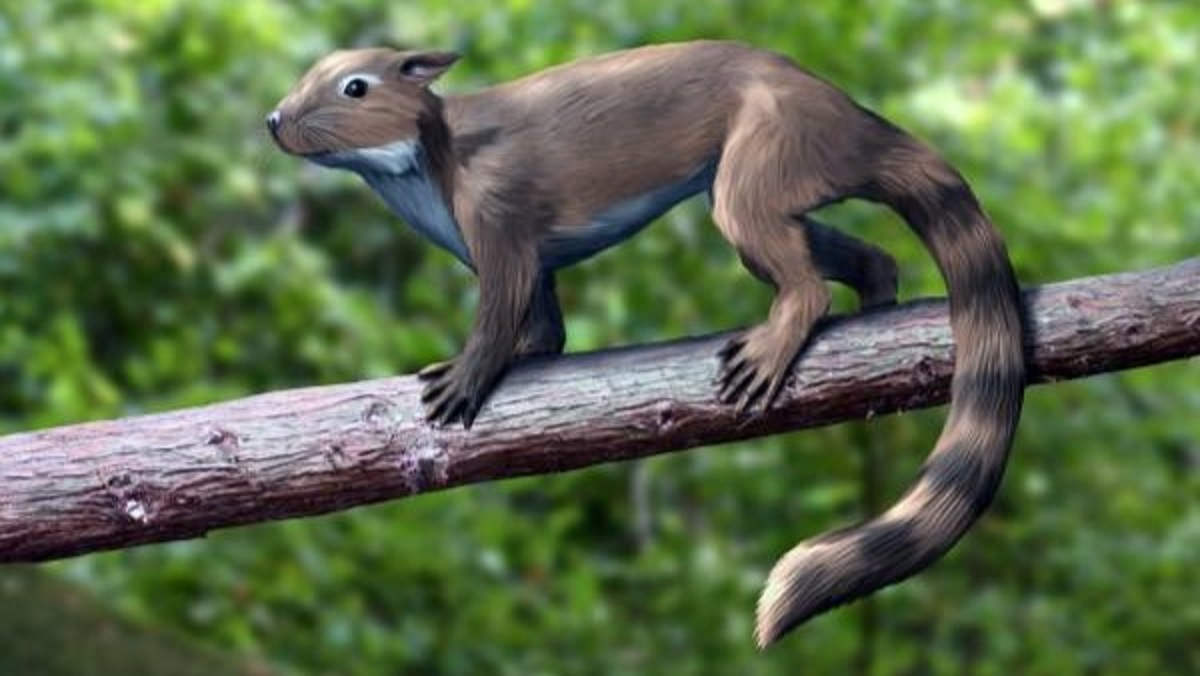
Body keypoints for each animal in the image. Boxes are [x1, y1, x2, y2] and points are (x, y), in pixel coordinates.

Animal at [268, 40, 1025, 648]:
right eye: (309, 75)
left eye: (355, 86)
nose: (275, 120)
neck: (429, 171)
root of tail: (848, 112)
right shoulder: (531, 259)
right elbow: (545, 326)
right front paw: (531, 355)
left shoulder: (499, 221)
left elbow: (498, 313)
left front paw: (462, 380)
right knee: (868, 257)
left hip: (758, 161)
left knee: (805, 282)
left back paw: (774, 346)